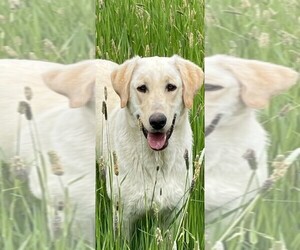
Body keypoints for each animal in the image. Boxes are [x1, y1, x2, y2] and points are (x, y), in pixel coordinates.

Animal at [101, 56, 204, 240]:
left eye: (171, 87)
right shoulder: (123, 217)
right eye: (142, 88)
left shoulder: (174, 215)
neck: (157, 162)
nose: (157, 121)